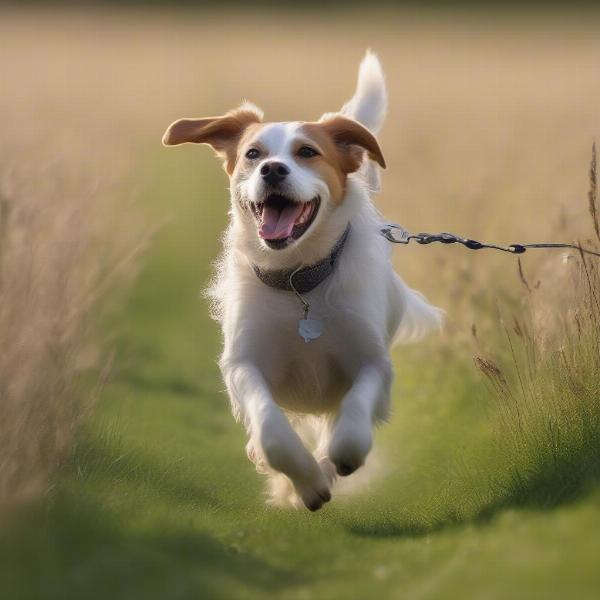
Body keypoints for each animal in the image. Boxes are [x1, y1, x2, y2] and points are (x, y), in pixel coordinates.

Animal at [162, 50, 442, 510]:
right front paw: (305, 482)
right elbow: (271, 430)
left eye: (307, 151)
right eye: (252, 153)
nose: (273, 169)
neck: (299, 281)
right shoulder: (245, 362)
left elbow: (352, 420)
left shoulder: (371, 360)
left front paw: (337, 459)